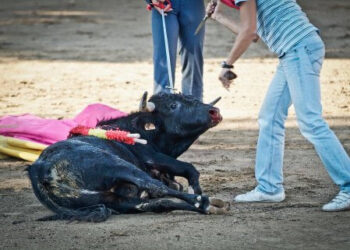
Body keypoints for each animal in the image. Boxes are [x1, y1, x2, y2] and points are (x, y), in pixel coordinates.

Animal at [28, 91, 230, 221]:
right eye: (173, 105)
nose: (214, 111)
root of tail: (39, 168)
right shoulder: (152, 156)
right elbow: (189, 169)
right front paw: (196, 189)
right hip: (115, 165)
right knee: (155, 187)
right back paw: (207, 203)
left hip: (112, 200)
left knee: (154, 203)